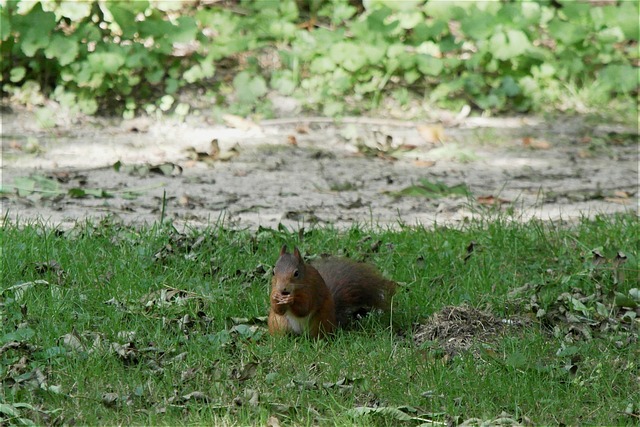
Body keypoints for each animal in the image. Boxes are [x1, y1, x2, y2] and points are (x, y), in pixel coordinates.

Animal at [266, 246, 396, 340]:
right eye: (273, 272)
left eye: (296, 273)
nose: (282, 289)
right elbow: (277, 309)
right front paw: (275, 298)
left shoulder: (311, 290)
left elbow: (304, 308)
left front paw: (291, 299)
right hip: (278, 323)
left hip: (320, 321)